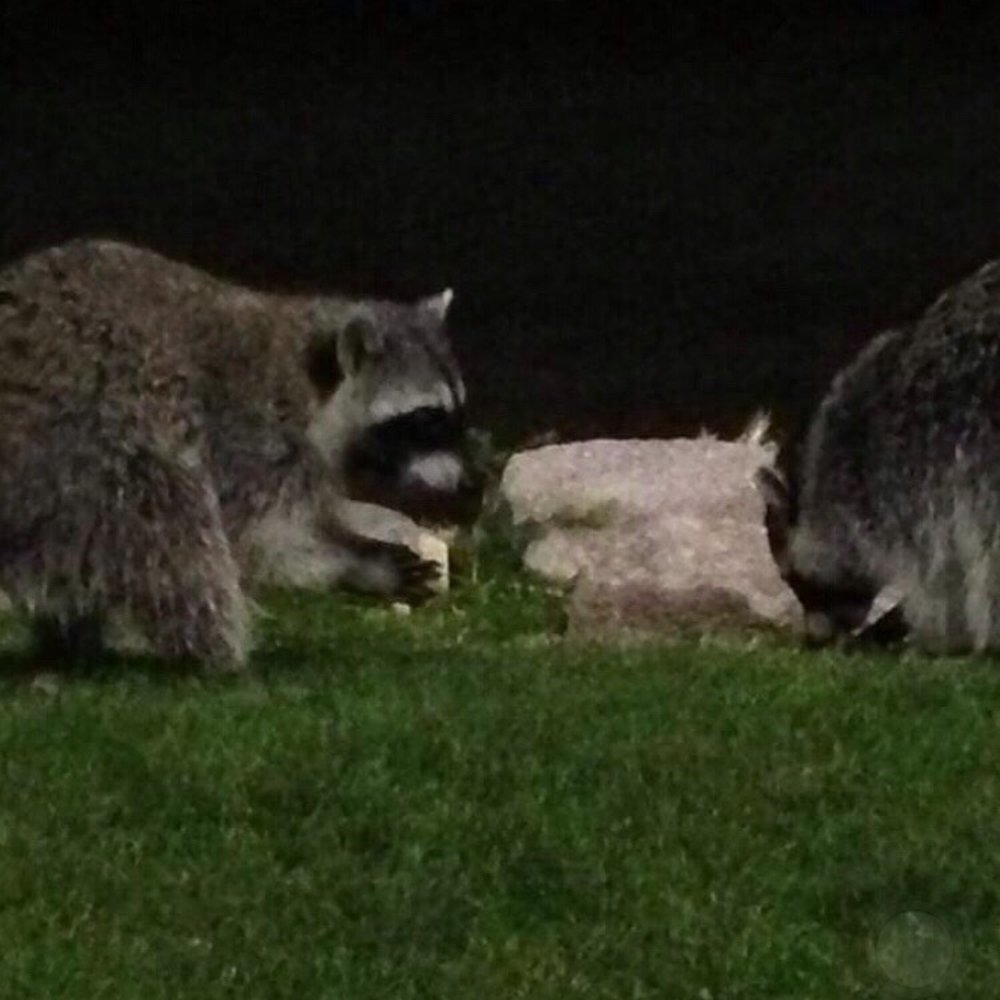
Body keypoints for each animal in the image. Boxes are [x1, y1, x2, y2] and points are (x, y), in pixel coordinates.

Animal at [0, 238, 484, 667]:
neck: (314, 385)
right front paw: (358, 564)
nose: (467, 484)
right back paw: (220, 655)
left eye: (457, 412)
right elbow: (261, 538)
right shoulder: (251, 438)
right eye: (426, 419)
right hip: (87, 435)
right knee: (172, 528)